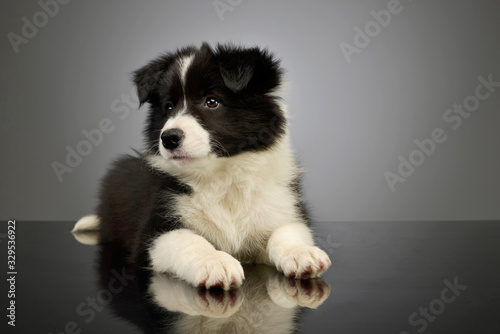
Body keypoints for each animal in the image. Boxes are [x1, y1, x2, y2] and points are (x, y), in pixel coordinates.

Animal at [74, 42, 330, 290]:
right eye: (169, 107)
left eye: (212, 101)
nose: (168, 138)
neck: (222, 176)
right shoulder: (152, 231)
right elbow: (189, 240)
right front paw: (215, 262)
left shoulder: (284, 206)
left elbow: (287, 230)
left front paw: (301, 253)